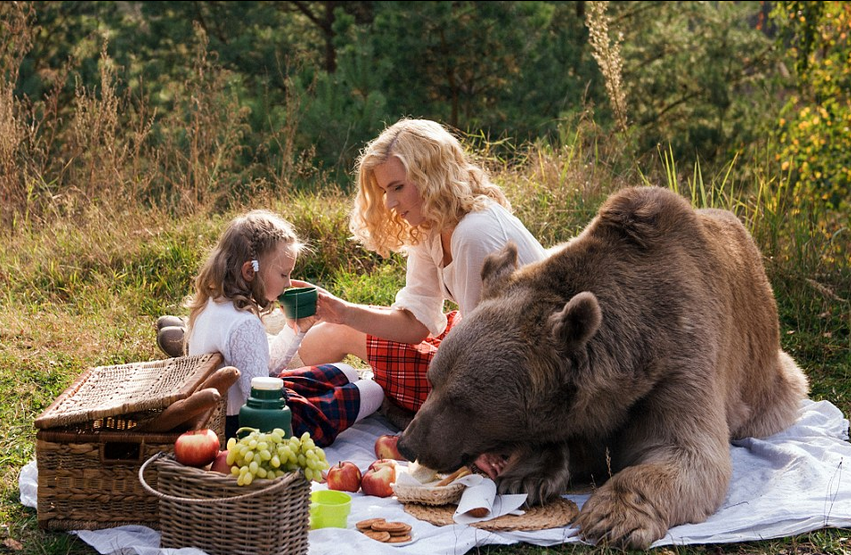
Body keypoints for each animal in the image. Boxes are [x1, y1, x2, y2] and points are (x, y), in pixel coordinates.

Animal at [400, 186, 812, 548]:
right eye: (432, 381)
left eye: (462, 401)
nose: (408, 443)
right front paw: (527, 476)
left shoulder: (682, 359)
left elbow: (687, 451)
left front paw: (611, 517)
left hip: (769, 382)